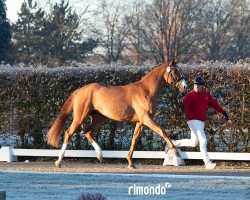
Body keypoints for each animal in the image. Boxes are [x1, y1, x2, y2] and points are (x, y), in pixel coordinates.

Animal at [47, 58, 188, 169]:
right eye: (175, 71)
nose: (185, 87)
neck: (146, 91)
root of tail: (78, 91)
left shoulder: (140, 122)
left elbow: (134, 139)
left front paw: (130, 162)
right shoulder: (146, 119)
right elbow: (162, 131)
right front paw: (176, 152)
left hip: (99, 118)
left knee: (87, 132)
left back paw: (100, 155)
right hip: (80, 117)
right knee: (68, 133)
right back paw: (59, 161)